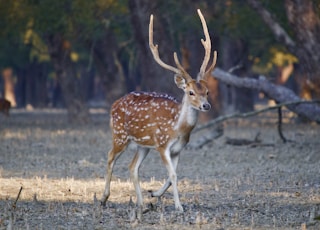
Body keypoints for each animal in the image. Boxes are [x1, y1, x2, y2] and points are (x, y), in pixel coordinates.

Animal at [102, 9, 218, 211]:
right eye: (190, 92)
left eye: (207, 91)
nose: (206, 105)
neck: (178, 129)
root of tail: (114, 104)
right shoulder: (162, 145)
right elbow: (173, 175)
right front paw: (179, 207)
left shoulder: (178, 149)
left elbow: (173, 176)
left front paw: (154, 194)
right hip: (120, 135)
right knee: (110, 157)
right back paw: (104, 198)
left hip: (143, 145)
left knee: (132, 167)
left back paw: (141, 203)